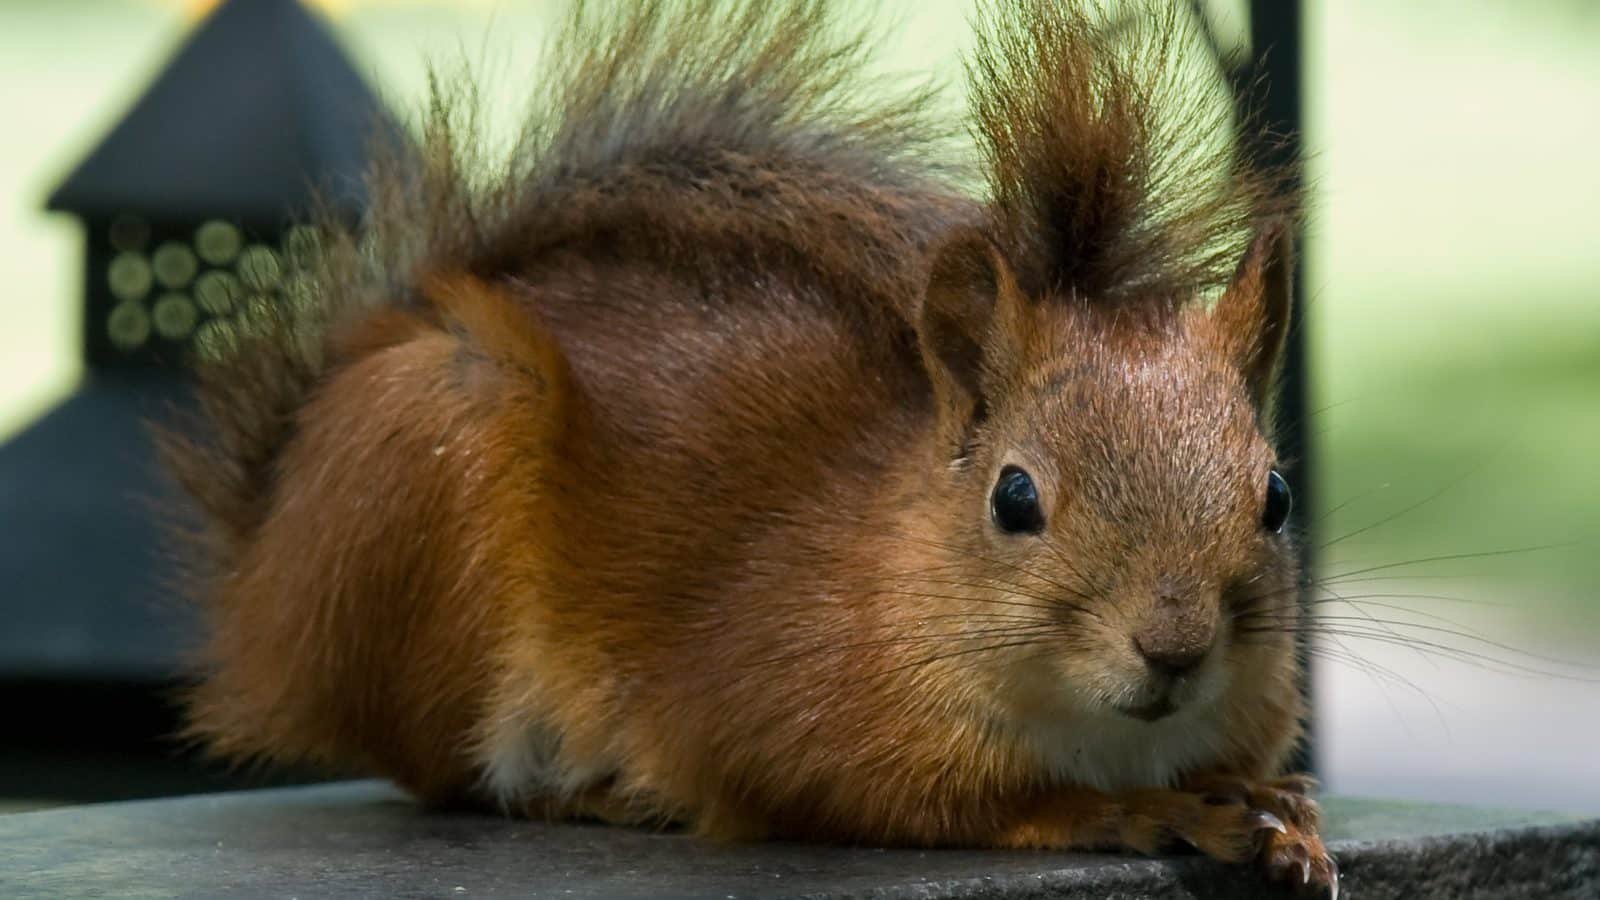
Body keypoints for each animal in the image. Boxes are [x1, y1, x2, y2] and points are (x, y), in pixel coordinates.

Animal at [161, 0, 1333, 895]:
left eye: (1275, 495)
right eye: (1014, 498)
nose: (1174, 648)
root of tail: (265, 581)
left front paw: (1284, 810)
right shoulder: (787, 703)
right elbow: (929, 801)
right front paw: (1135, 811)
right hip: (432, 475)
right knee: (451, 774)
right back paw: (603, 793)